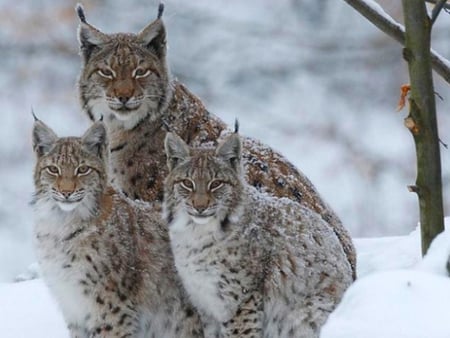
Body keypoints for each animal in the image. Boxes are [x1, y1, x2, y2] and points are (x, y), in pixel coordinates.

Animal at [29, 119, 202, 338]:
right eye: (53, 169)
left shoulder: (111, 308)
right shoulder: (73, 306)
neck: (62, 221)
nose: (66, 192)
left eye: (82, 169)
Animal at [163, 132, 354, 338]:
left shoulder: (240, 299)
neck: (196, 232)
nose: (200, 207)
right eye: (187, 183)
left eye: (216, 184)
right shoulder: (204, 302)